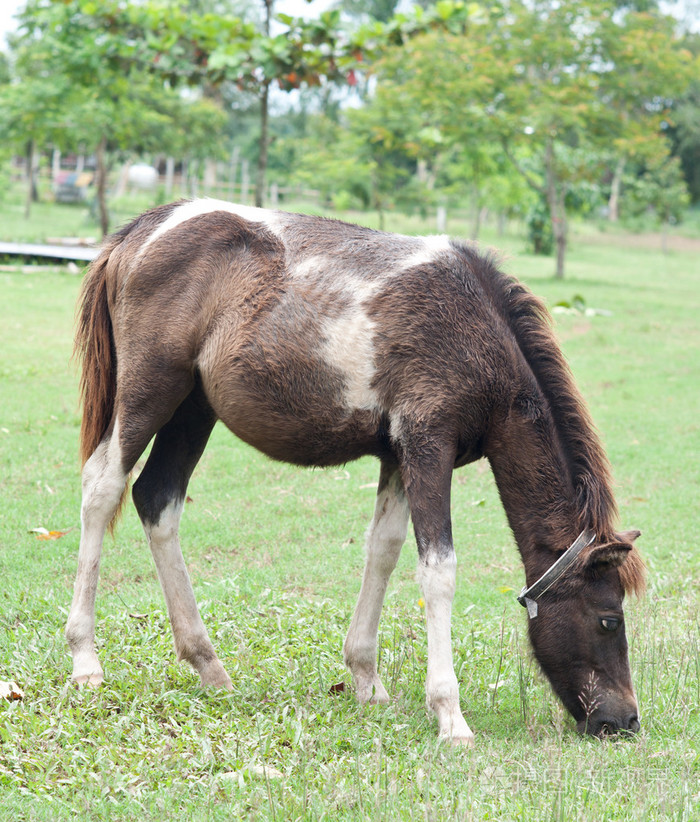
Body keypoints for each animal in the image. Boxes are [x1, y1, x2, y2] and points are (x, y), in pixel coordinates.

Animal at [68, 199, 646, 744]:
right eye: (608, 619)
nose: (625, 721)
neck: (478, 337)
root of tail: (143, 229)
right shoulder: (428, 446)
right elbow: (438, 571)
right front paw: (450, 716)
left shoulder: (398, 456)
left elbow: (383, 552)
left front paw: (367, 680)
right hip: (150, 393)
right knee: (103, 488)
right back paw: (85, 660)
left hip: (193, 409)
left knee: (157, 499)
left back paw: (208, 665)